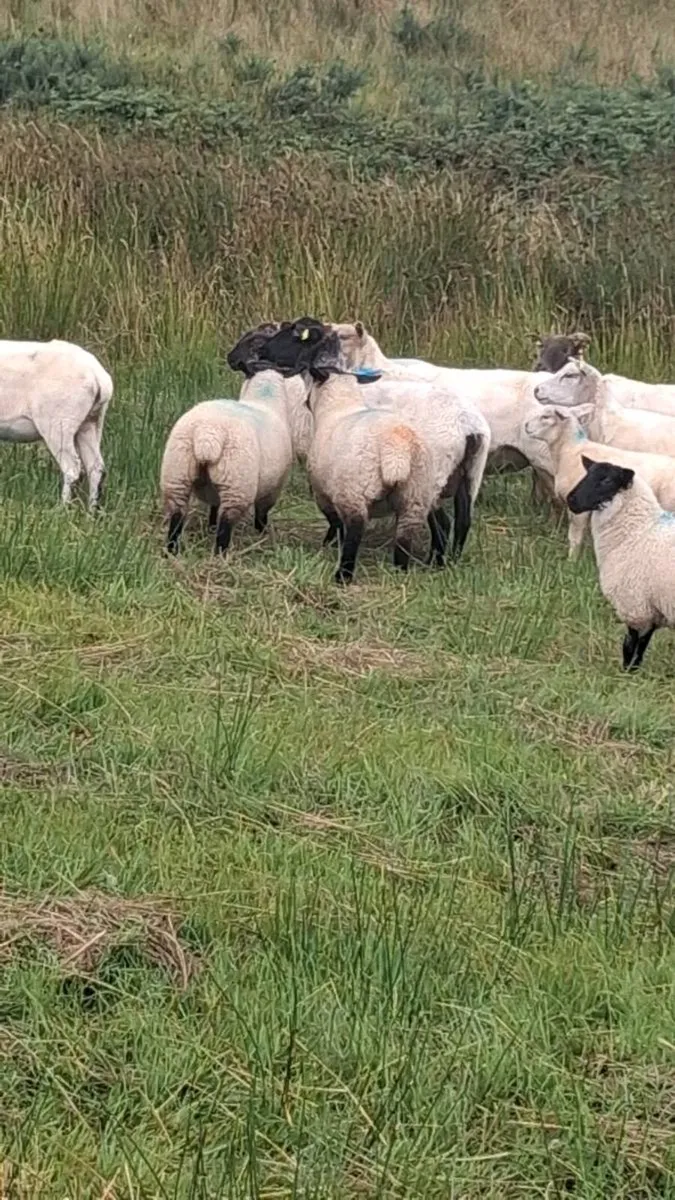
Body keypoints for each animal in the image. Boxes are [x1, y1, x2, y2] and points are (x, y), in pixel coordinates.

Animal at [0, 337, 113, 507]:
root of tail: (99, 378)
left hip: (59, 421)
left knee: (72, 468)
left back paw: (62, 507)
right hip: (92, 422)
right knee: (96, 467)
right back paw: (91, 509)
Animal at [160, 327, 305, 556]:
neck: (265, 398)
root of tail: (207, 435)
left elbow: (213, 507)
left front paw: (210, 526)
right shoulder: (273, 486)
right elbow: (261, 513)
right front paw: (262, 534)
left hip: (177, 475)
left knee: (176, 518)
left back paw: (172, 551)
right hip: (237, 484)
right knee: (226, 525)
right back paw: (220, 555)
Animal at [254, 317, 491, 560]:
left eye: (295, 334)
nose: (262, 351)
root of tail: (469, 426)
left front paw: (331, 542)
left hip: (432, 477)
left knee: (441, 521)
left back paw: (434, 560)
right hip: (470, 475)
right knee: (463, 521)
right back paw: (450, 560)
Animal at [523, 406, 675, 560]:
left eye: (546, 417)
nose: (526, 426)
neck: (569, 451)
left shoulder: (578, 508)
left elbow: (575, 537)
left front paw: (572, 559)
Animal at [567, 458, 675, 671]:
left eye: (607, 481)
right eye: (587, 473)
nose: (571, 500)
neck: (637, 531)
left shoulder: (635, 606)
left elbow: (630, 646)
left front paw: (626, 673)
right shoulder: (651, 610)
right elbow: (641, 646)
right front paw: (634, 672)